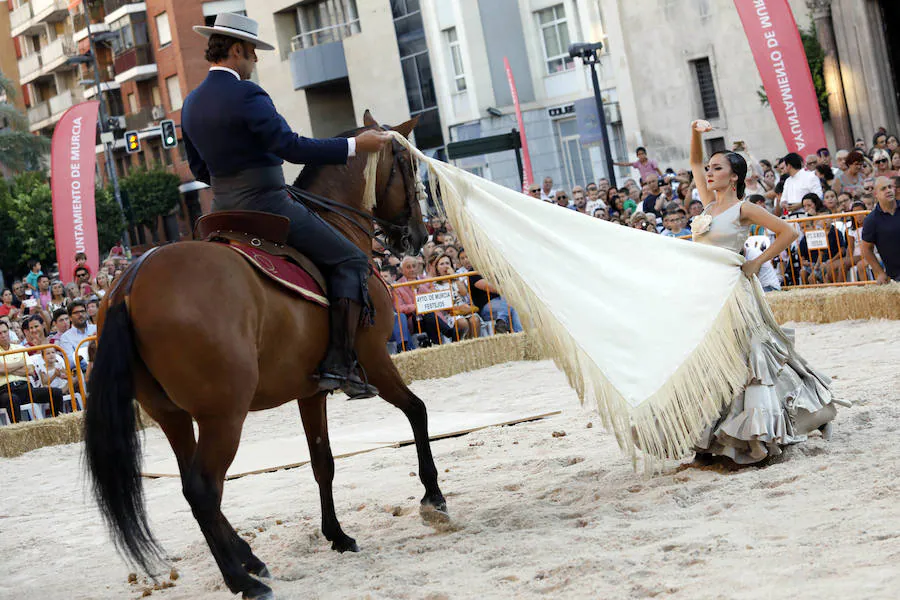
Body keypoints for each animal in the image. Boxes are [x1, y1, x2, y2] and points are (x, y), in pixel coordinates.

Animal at [86, 112, 444, 600]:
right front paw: (433, 497)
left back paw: (248, 559)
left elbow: (323, 462)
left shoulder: (311, 390)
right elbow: (417, 411)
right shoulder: (374, 360)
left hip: (172, 416)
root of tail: (131, 281)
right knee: (203, 488)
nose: (419, 236)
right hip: (224, 414)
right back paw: (244, 579)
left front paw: (337, 535)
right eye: (409, 167)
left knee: (196, 488)